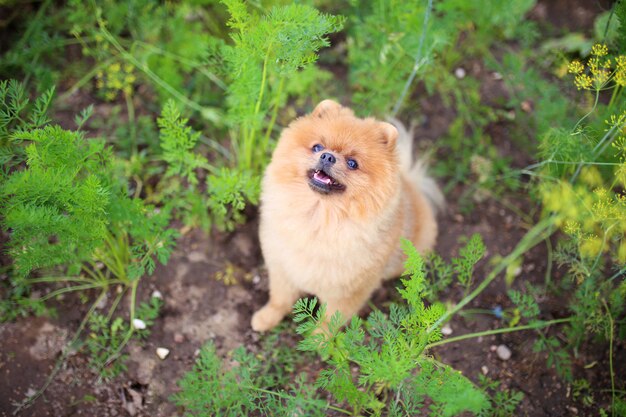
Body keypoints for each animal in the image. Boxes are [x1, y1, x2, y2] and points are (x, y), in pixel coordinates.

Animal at [249, 99, 438, 330]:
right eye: (317, 147)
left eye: (352, 163)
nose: (327, 156)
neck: (318, 217)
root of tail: (412, 184)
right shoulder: (283, 268)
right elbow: (279, 299)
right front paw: (266, 318)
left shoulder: (346, 291)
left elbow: (330, 320)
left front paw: (318, 338)